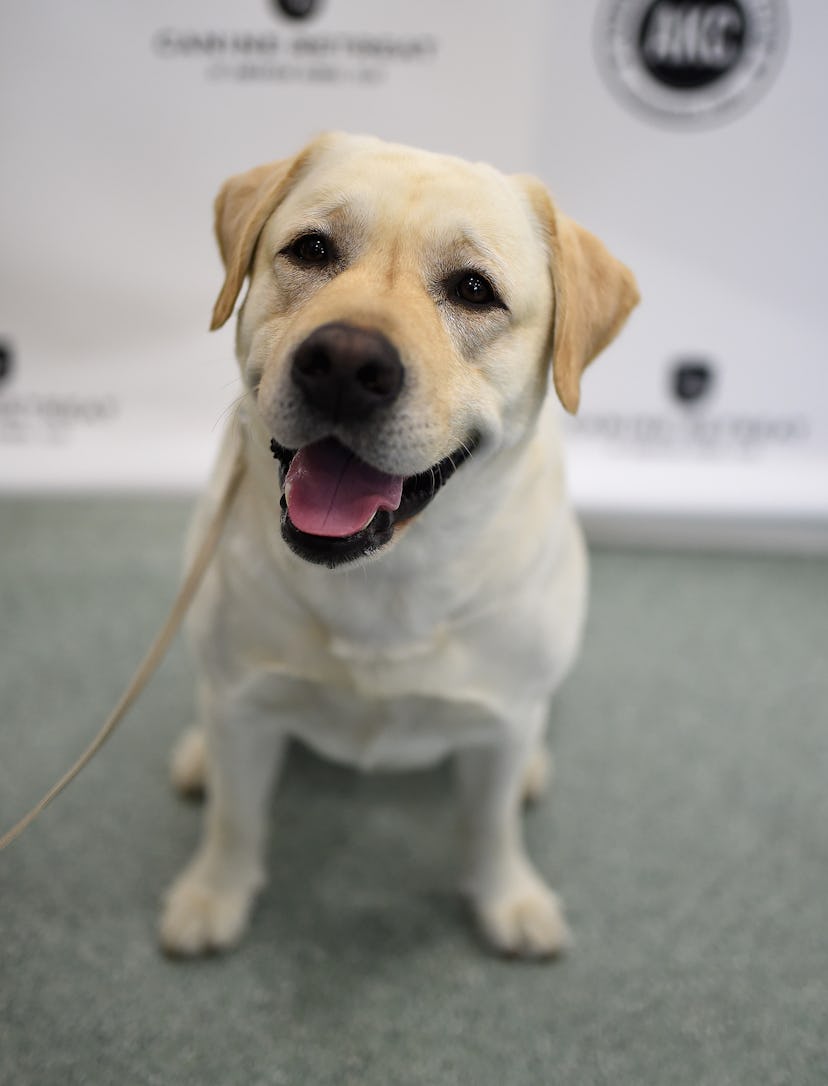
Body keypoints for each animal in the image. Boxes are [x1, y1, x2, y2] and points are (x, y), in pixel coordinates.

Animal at [160, 133, 638, 960]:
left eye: (474, 290)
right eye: (311, 249)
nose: (347, 364)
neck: (386, 577)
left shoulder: (501, 725)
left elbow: (490, 826)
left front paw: (508, 898)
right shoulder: (246, 709)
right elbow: (236, 818)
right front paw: (213, 894)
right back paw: (197, 756)